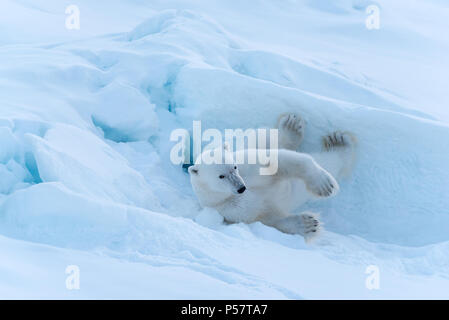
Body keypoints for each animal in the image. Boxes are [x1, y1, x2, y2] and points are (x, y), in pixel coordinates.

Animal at [187, 114, 356, 241]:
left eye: (234, 167)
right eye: (221, 176)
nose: (242, 187)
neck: (225, 195)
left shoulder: (248, 164)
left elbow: (277, 161)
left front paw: (323, 185)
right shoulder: (226, 209)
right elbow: (266, 218)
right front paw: (309, 224)